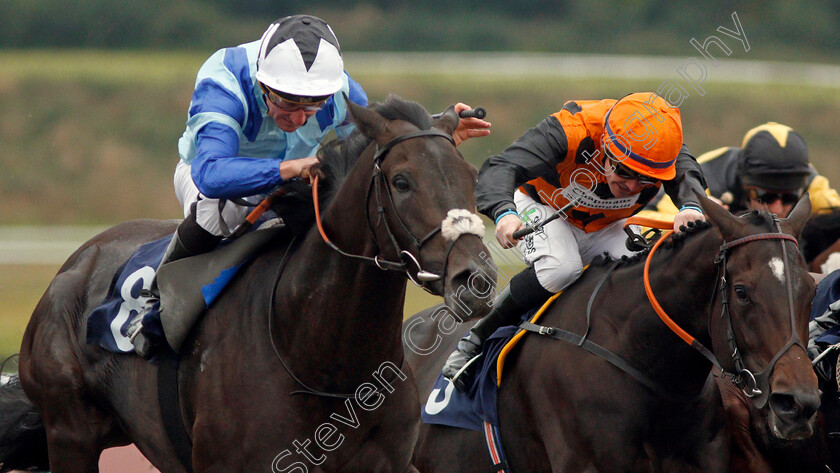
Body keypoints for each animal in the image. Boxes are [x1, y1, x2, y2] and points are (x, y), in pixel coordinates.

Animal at [0, 97, 496, 472]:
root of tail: (76, 262)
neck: (323, 363)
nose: (476, 279)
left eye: (471, 177)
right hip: (70, 430)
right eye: (401, 181)